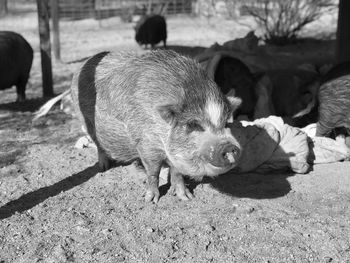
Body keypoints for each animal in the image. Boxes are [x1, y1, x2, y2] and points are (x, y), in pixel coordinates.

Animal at [69, 50, 242, 203]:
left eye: (226, 123)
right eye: (193, 124)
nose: (229, 146)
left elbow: (177, 173)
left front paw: (186, 197)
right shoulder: (146, 142)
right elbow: (153, 172)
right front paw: (150, 200)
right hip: (85, 120)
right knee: (99, 145)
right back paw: (103, 167)